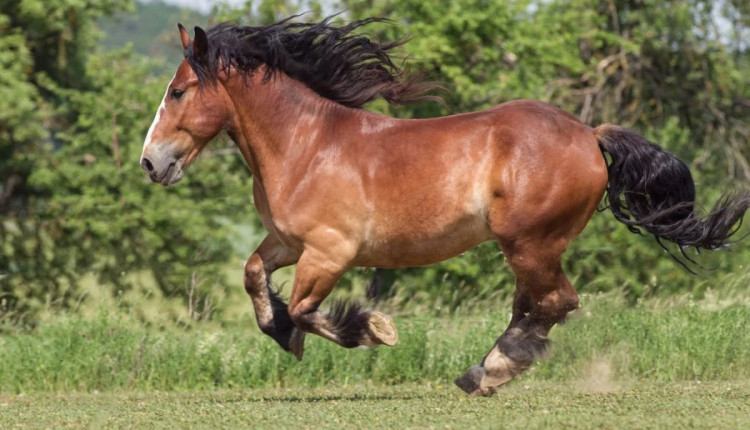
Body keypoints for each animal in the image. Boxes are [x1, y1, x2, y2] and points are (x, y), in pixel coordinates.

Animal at [141, 16, 750, 394]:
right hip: (527, 248)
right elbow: (253, 277)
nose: (151, 164)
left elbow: (307, 309)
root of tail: (588, 133)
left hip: (530, 242)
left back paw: (491, 371)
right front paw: (282, 332)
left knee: (554, 303)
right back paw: (485, 370)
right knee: (536, 306)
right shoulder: (288, 244)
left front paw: (372, 330)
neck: (306, 145)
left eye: (178, 92)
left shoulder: (330, 252)